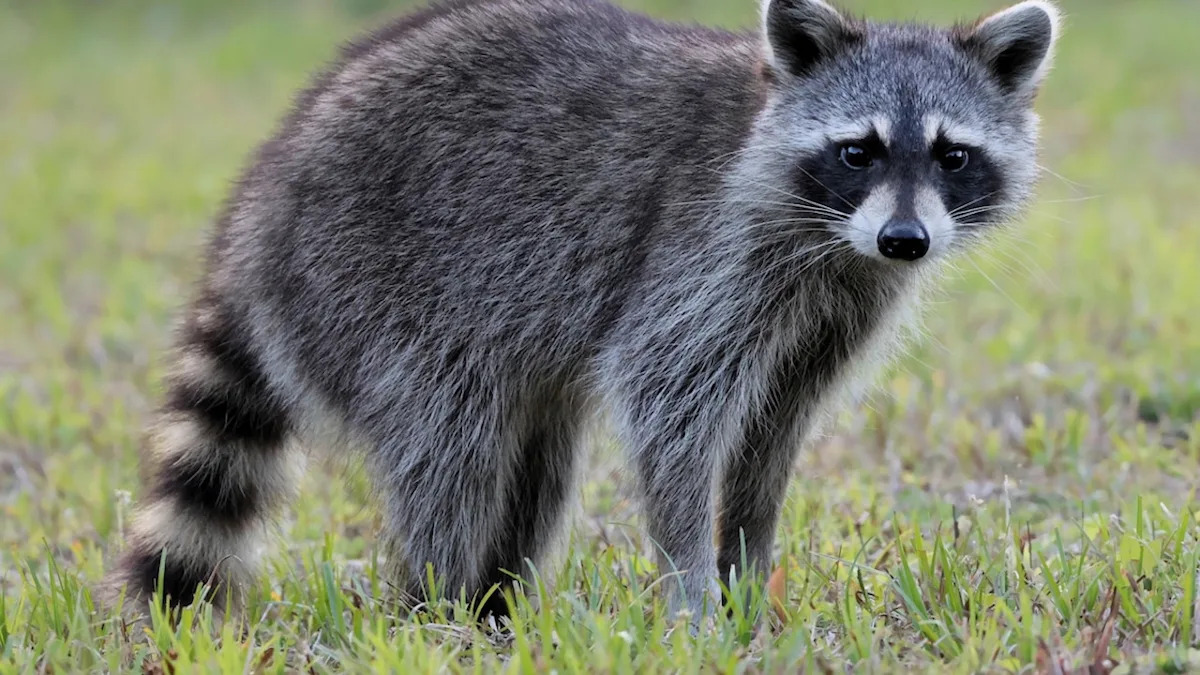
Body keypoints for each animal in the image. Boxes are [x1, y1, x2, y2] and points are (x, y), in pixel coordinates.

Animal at [103, 0, 1060, 620]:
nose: (906, 240)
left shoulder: (837, 304)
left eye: (953, 155)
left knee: (538, 462)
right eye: (858, 151)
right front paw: (691, 594)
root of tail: (259, 203)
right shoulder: (704, 254)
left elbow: (772, 436)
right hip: (371, 287)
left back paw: (499, 603)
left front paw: (749, 575)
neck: (834, 237)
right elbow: (671, 411)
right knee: (449, 448)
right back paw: (436, 604)